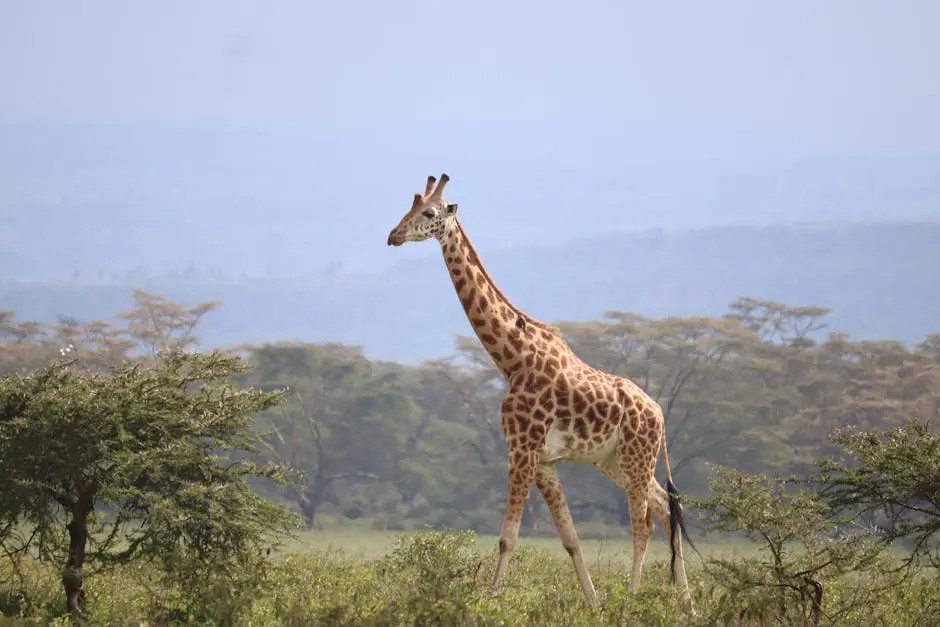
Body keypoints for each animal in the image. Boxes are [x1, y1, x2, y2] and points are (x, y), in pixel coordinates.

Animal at [386, 172, 692, 608]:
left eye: (429, 212)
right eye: (408, 205)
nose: (393, 235)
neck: (512, 359)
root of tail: (660, 414)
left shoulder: (522, 449)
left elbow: (507, 537)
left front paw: (490, 601)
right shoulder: (545, 461)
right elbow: (570, 539)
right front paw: (594, 605)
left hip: (637, 458)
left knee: (644, 525)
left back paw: (633, 599)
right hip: (615, 462)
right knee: (669, 509)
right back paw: (688, 604)